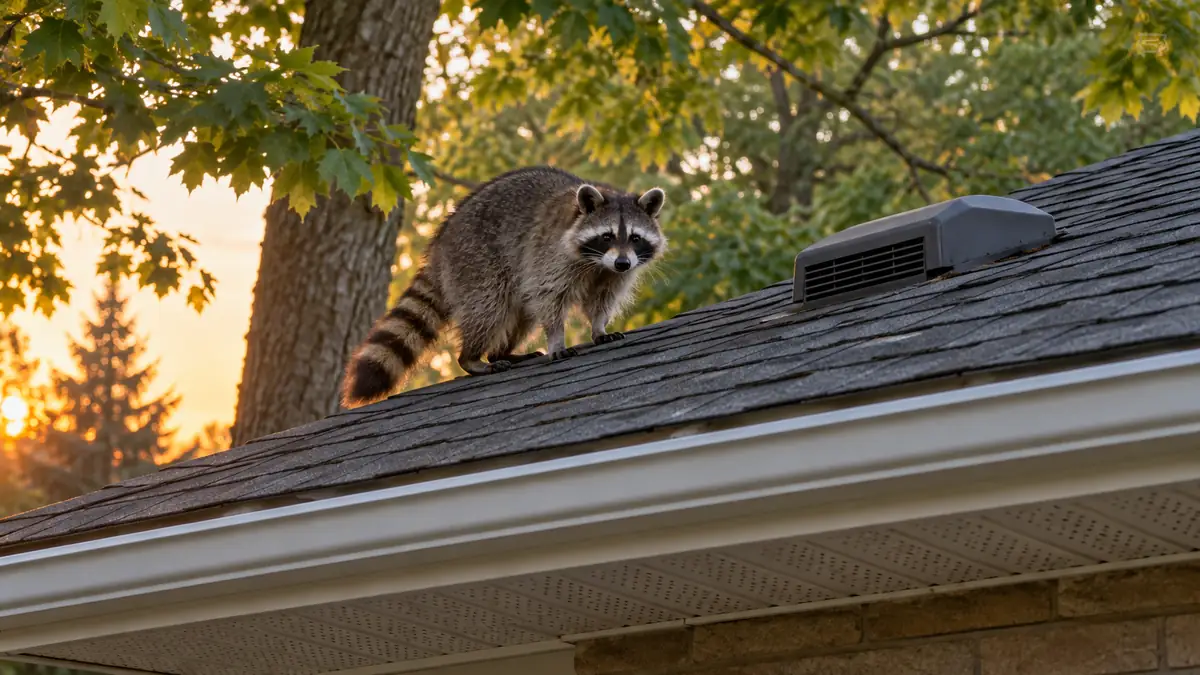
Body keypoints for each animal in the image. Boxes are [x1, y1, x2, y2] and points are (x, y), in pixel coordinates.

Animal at [341, 166, 667, 408]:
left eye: (635, 238)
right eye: (607, 236)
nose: (623, 262)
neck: (599, 264)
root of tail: (440, 244)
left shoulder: (613, 274)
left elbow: (602, 298)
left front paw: (599, 326)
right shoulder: (550, 255)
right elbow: (550, 298)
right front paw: (557, 338)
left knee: (522, 315)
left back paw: (502, 353)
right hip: (475, 260)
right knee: (489, 308)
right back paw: (472, 358)